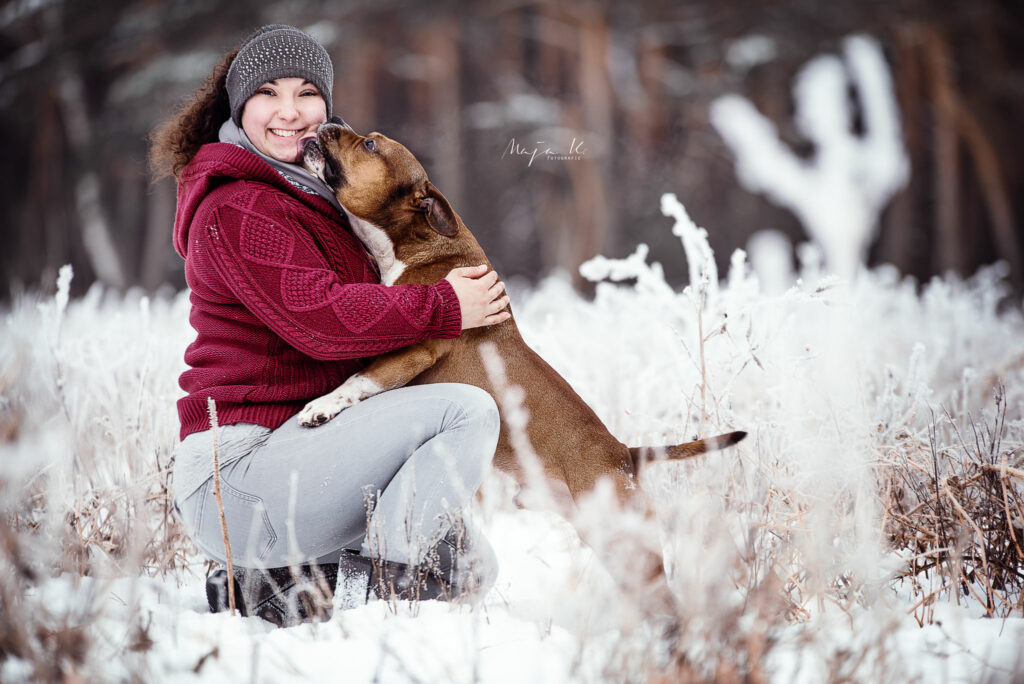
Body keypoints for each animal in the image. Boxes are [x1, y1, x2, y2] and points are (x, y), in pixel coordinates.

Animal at [299, 122, 745, 593]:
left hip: (624, 541)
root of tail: (625, 455)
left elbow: (360, 380)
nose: (329, 123)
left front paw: (320, 408)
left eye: (370, 144)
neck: (416, 242)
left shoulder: (412, 351)